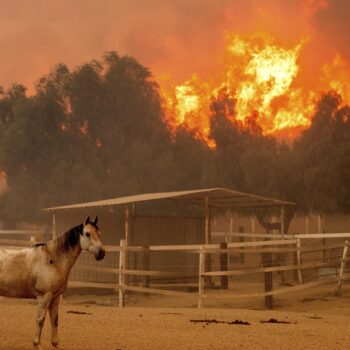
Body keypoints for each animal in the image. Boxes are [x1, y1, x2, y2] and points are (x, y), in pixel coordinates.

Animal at [0, 216, 104, 348]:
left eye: (99, 233)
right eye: (87, 233)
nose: (102, 253)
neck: (52, 260)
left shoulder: (55, 297)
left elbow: (54, 320)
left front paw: (55, 344)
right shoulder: (45, 296)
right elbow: (40, 320)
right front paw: (37, 344)